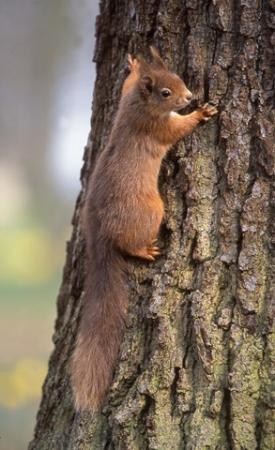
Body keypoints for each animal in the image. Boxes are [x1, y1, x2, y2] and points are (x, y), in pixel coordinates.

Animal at [70, 46, 218, 412]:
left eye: (178, 77)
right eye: (165, 92)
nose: (190, 96)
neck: (135, 106)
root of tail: (100, 235)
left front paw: (134, 64)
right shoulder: (155, 128)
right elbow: (176, 130)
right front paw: (201, 113)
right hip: (151, 211)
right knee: (131, 245)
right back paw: (146, 250)